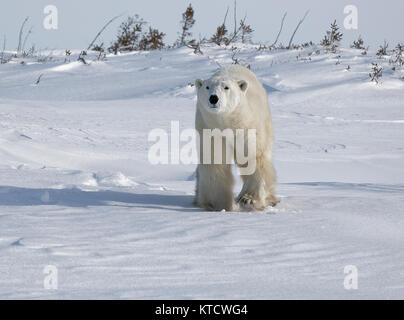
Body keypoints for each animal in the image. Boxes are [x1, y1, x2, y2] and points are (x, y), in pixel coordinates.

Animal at [195, 63, 278, 211]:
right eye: (207, 87)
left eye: (226, 87)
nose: (213, 98)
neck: (226, 121)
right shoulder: (209, 128)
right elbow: (215, 160)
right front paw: (217, 203)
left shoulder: (247, 126)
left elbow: (253, 156)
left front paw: (248, 199)